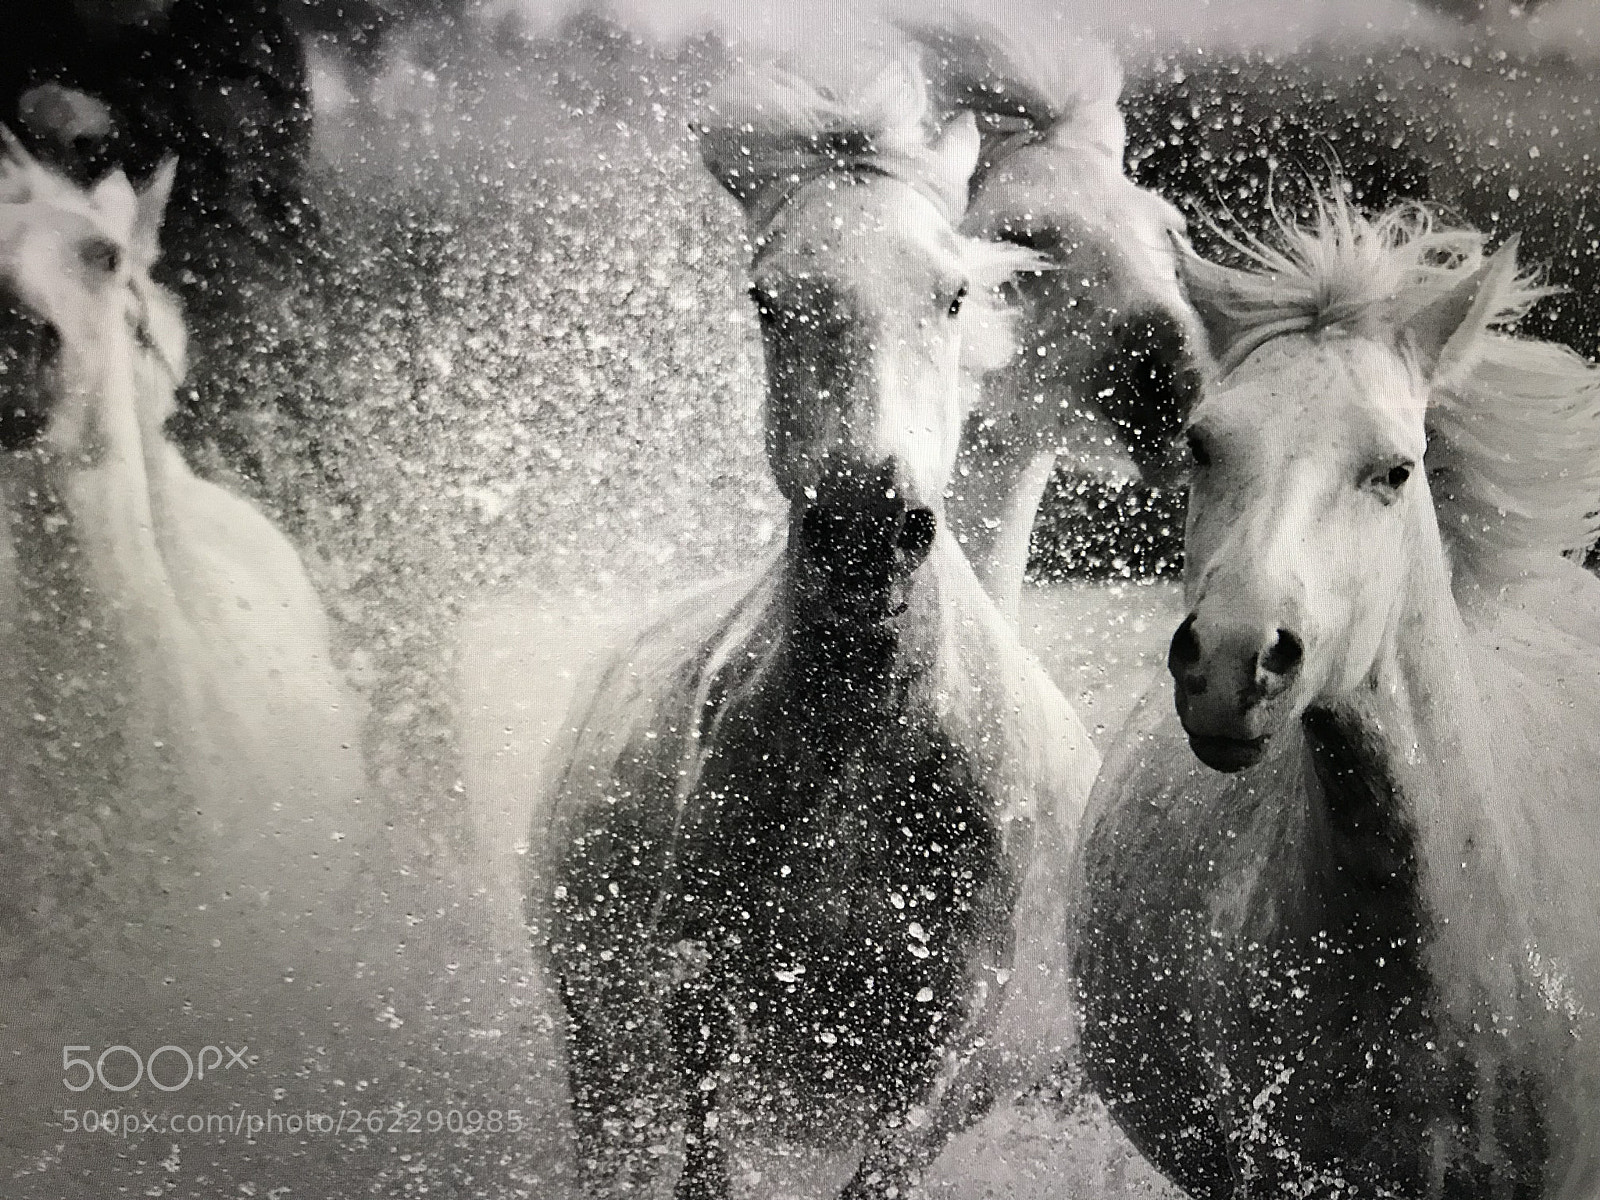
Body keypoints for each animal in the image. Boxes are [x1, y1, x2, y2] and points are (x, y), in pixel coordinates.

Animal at [529, 54, 1100, 1200]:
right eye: (767, 298)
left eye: (952, 292)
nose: (865, 528)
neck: (863, 740)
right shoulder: (698, 984)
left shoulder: (946, 1045)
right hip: (600, 1058)